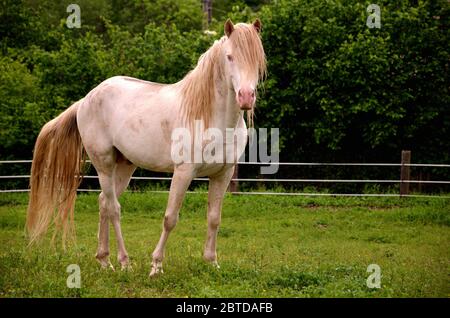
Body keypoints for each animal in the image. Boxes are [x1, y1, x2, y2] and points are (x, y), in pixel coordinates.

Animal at [26, 18, 266, 276]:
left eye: (258, 58)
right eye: (230, 57)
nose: (245, 97)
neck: (210, 117)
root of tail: (86, 99)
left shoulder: (223, 174)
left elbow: (214, 218)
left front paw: (212, 262)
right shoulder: (184, 172)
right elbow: (170, 218)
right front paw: (156, 266)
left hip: (125, 166)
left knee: (103, 203)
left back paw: (104, 260)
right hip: (104, 165)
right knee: (113, 208)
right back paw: (124, 262)